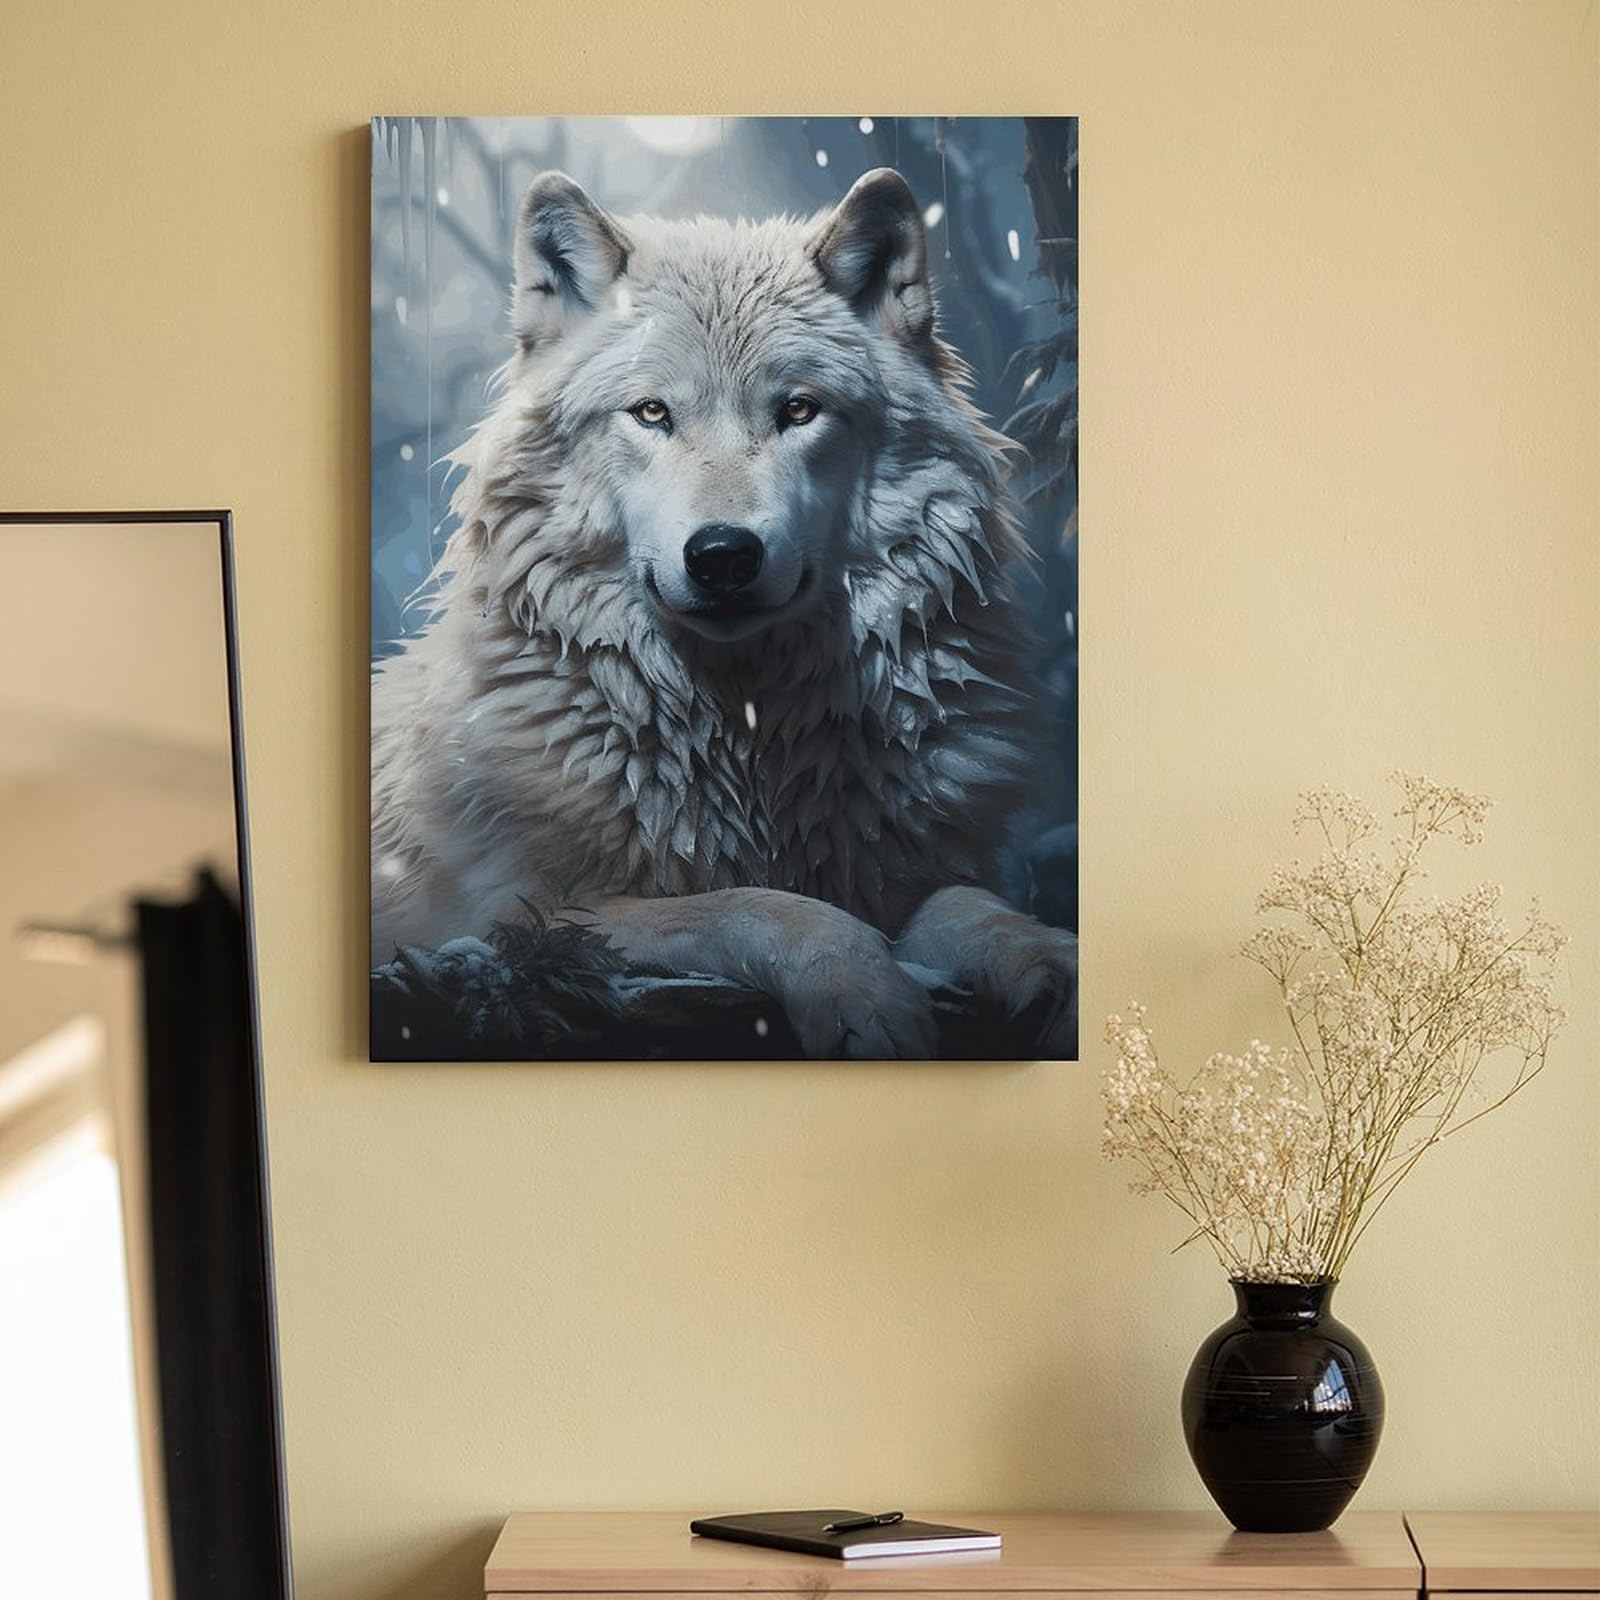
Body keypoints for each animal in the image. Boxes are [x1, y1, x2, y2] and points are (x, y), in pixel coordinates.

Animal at [372, 166, 1077, 1058]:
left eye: (799, 410)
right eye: (651, 413)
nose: (722, 556)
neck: (745, 734)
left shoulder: (911, 877)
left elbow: (968, 906)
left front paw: (1048, 960)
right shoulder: (523, 917)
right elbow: (764, 908)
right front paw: (867, 1002)